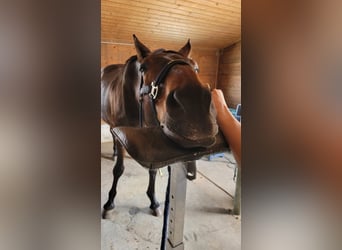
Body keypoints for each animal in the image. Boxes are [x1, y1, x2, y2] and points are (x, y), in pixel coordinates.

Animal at [102, 35, 219, 217]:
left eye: (196, 67)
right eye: (143, 68)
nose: (195, 106)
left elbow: (153, 170)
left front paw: (153, 201)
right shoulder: (121, 132)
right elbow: (118, 169)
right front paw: (110, 202)